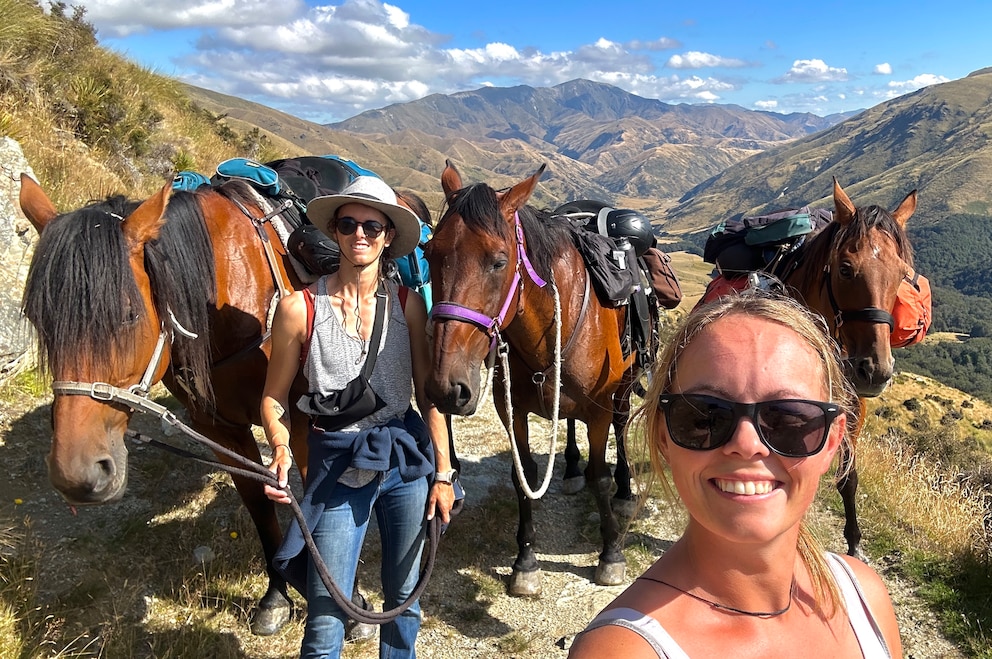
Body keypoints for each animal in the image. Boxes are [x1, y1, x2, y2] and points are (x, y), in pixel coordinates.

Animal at [20, 174, 314, 636]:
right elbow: (259, 502)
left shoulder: (300, 419)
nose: (77, 476)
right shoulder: (218, 429)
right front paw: (276, 597)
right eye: (38, 318)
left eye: (127, 314)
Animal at [420, 161, 636, 600]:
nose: (446, 387)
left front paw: (610, 554)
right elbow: (524, 479)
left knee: (622, 430)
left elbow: (600, 478)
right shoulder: (513, 411)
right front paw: (525, 562)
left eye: (498, 261)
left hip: (622, 388)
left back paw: (624, 490)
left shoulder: (599, 409)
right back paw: (569, 470)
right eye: (431, 254)